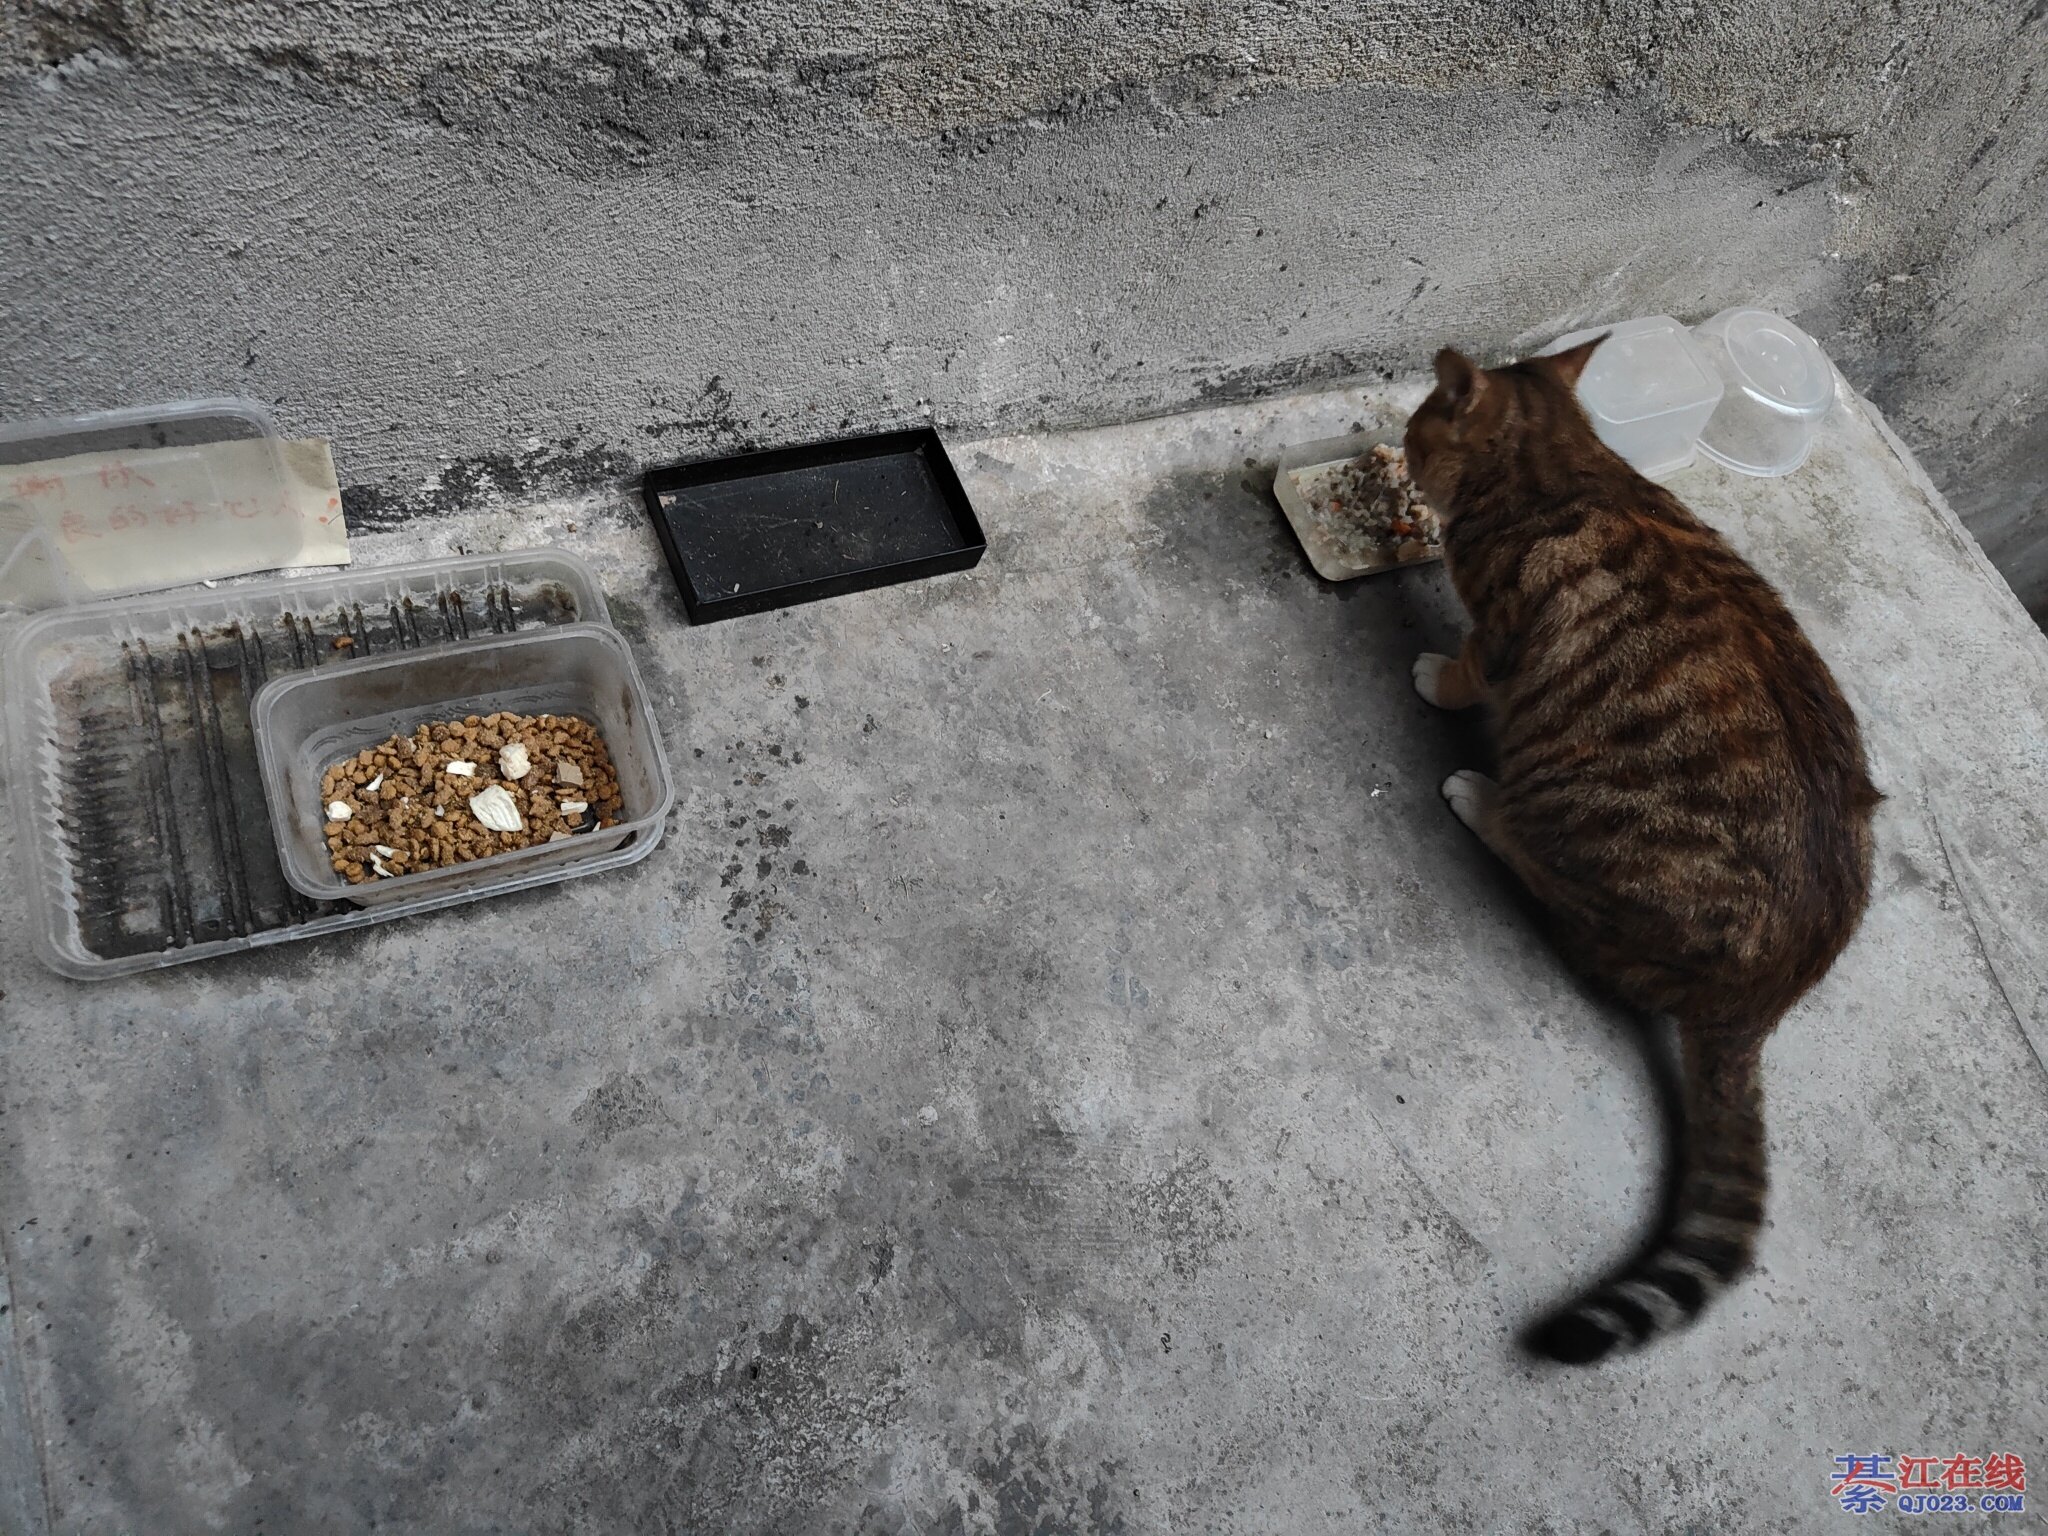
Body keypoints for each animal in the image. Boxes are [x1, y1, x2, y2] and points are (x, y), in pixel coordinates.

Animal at [1401, 338, 1880, 1364]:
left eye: (1419, 427)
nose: (1405, 451)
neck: (1564, 466)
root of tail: (1765, 1001)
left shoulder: (1499, 634)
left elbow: (1465, 666)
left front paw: (1436, 676)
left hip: (1576, 810)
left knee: (1544, 872)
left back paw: (1482, 800)